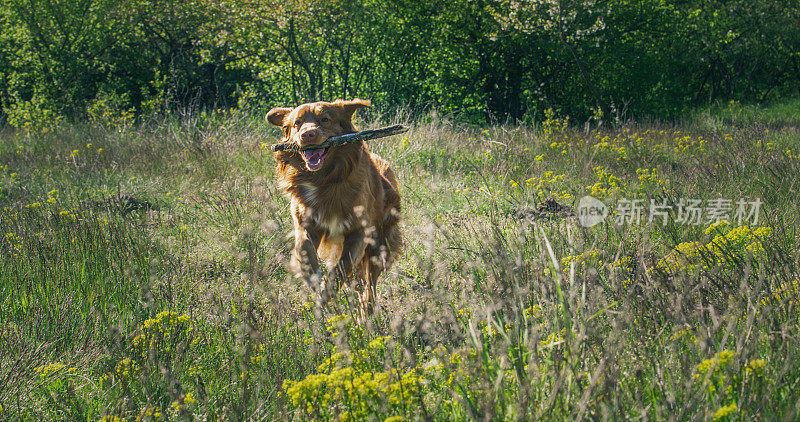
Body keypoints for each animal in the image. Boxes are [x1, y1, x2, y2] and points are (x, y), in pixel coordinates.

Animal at [268, 99, 404, 316]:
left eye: (325, 119)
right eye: (297, 123)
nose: (307, 134)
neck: (325, 180)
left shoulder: (359, 232)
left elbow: (341, 268)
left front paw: (325, 293)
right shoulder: (305, 224)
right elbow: (305, 252)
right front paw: (314, 281)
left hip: (379, 245)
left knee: (369, 285)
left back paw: (367, 313)